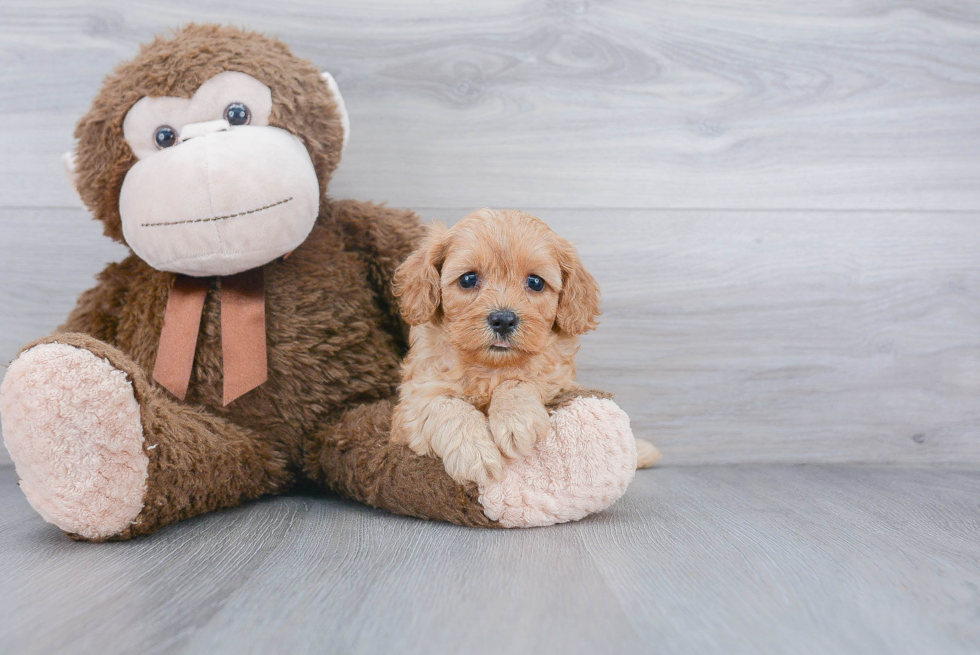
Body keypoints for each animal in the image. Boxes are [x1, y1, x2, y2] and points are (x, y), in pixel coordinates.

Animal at [390, 208, 660, 484]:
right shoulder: (412, 403)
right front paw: (475, 454)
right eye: (468, 279)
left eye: (535, 282)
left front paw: (516, 420)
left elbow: (519, 380)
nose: (503, 320)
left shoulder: (558, 378)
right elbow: (446, 405)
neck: (491, 367)